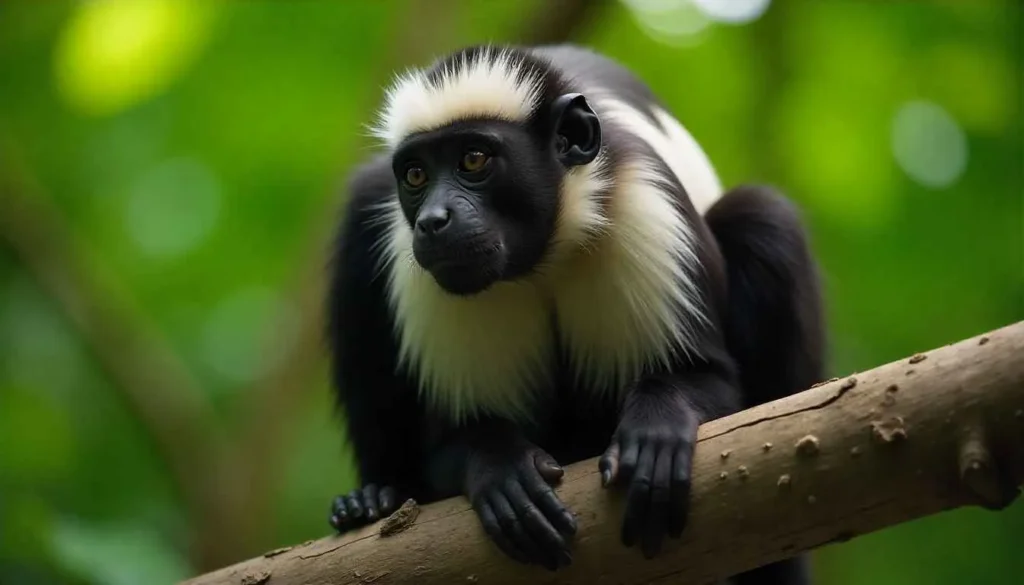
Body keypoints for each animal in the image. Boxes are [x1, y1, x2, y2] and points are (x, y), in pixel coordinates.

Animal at [325, 44, 824, 583]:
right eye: (416, 175)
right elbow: (448, 446)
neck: (538, 260)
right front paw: (501, 465)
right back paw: (371, 501)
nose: (433, 221)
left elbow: (711, 381)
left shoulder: (644, 203)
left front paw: (657, 430)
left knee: (762, 217)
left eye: (473, 160)